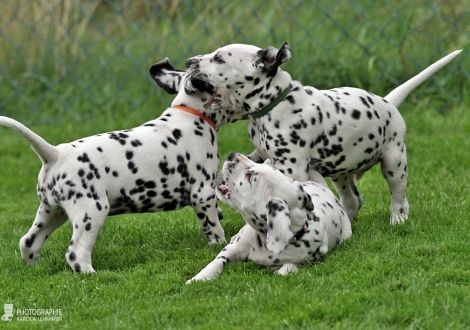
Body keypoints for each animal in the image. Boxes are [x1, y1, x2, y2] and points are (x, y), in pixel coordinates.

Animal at [0, 58, 239, 272]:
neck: (189, 114)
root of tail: (56, 154)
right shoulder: (202, 193)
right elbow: (213, 227)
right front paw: (219, 243)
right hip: (91, 212)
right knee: (75, 253)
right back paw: (90, 275)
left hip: (51, 212)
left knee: (28, 242)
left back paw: (35, 268)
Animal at [185, 43, 460, 224]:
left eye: (218, 58)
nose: (188, 62)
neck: (274, 103)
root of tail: (388, 101)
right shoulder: (260, 152)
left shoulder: (292, 168)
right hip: (342, 174)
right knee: (352, 201)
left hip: (394, 163)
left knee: (399, 197)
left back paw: (397, 219)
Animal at [185, 153, 350, 284]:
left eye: (249, 177)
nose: (232, 154)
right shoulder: (232, 249)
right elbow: (217, 262)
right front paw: (198, 279)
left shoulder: (307, 261)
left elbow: (290, 267)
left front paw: (282, 272)